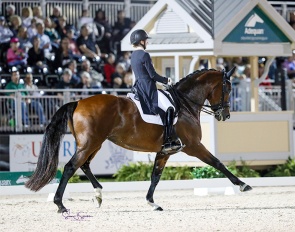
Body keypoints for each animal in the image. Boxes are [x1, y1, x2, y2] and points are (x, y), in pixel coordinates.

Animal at [25, 67, 253, 212]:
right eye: (228, 88)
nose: (225, 115)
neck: (185, 104)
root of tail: (78, 102)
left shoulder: (164, 151)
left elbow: (155, 176)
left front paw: (152, 203)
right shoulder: (194, 146)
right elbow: (217, 163)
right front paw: (243, 185)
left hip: (95, 143)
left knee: (85, 165)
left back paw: (98, 195)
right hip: (90, 143)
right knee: (71, 167)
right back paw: (61, 205)